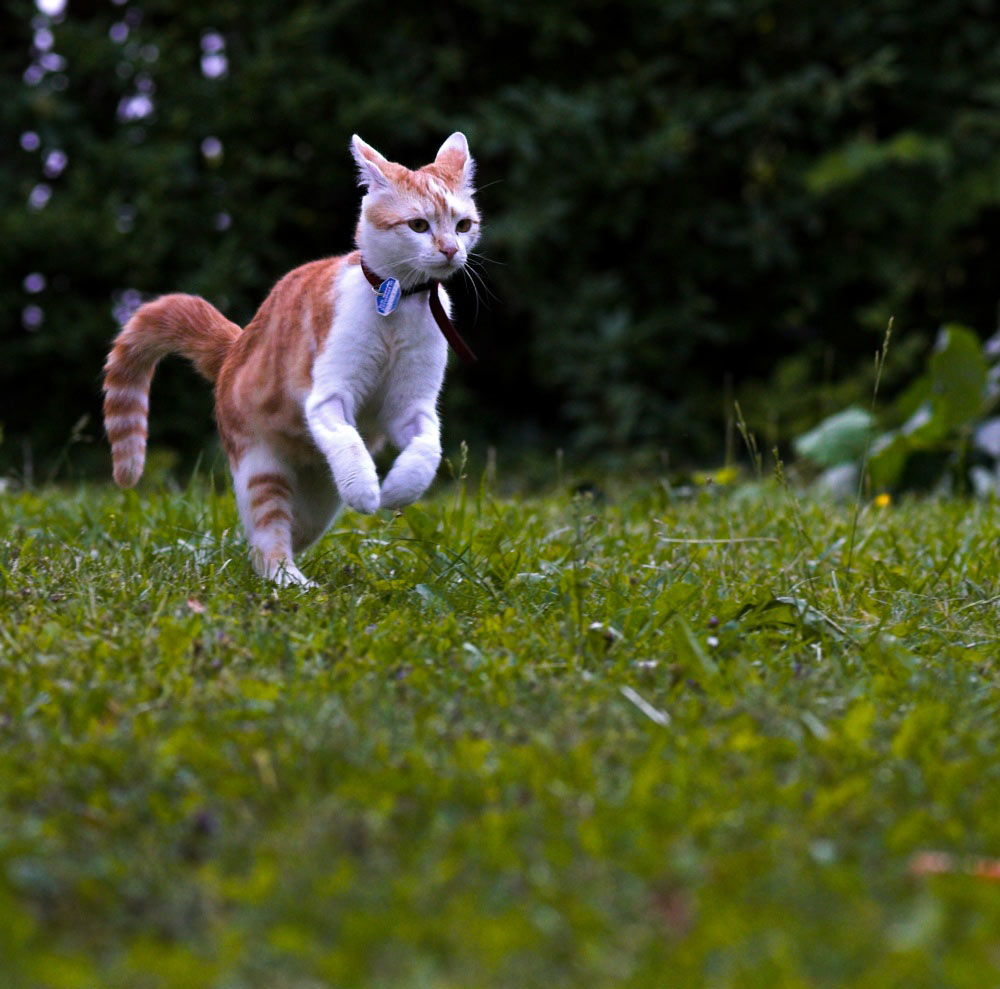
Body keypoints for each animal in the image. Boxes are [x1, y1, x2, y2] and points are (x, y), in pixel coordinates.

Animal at [103, 127, 478, 584]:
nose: (450, 249)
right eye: (419, 225)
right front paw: (366, 489)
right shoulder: (329, 398)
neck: (398, 304)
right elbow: (350, 445)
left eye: (462, 225)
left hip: (320, 500)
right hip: (262, 470)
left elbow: (427, 450)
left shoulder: (412, 408)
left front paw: (396, 489)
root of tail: (235, 347)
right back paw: (289, 580)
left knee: (284, 533)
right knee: (267, 538)